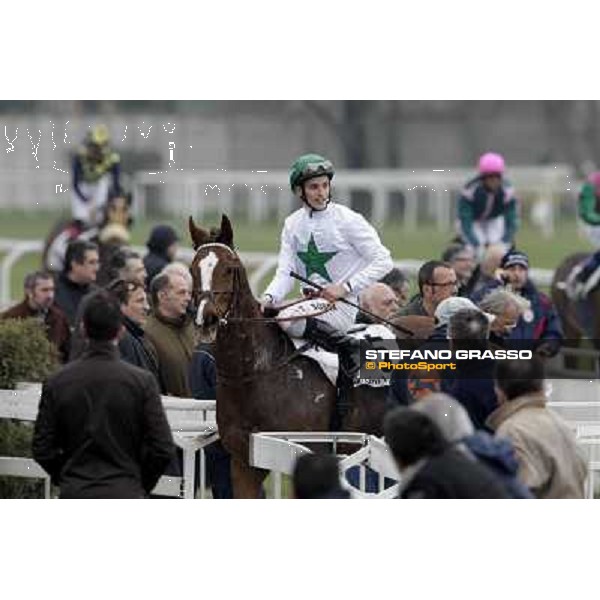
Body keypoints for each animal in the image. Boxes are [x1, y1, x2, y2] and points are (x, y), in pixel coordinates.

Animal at [190, 214, 434, 496]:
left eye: (229, 269)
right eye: (192, 269)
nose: (207, 319)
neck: (256, 372)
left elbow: (379, 256)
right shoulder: (244, 462)